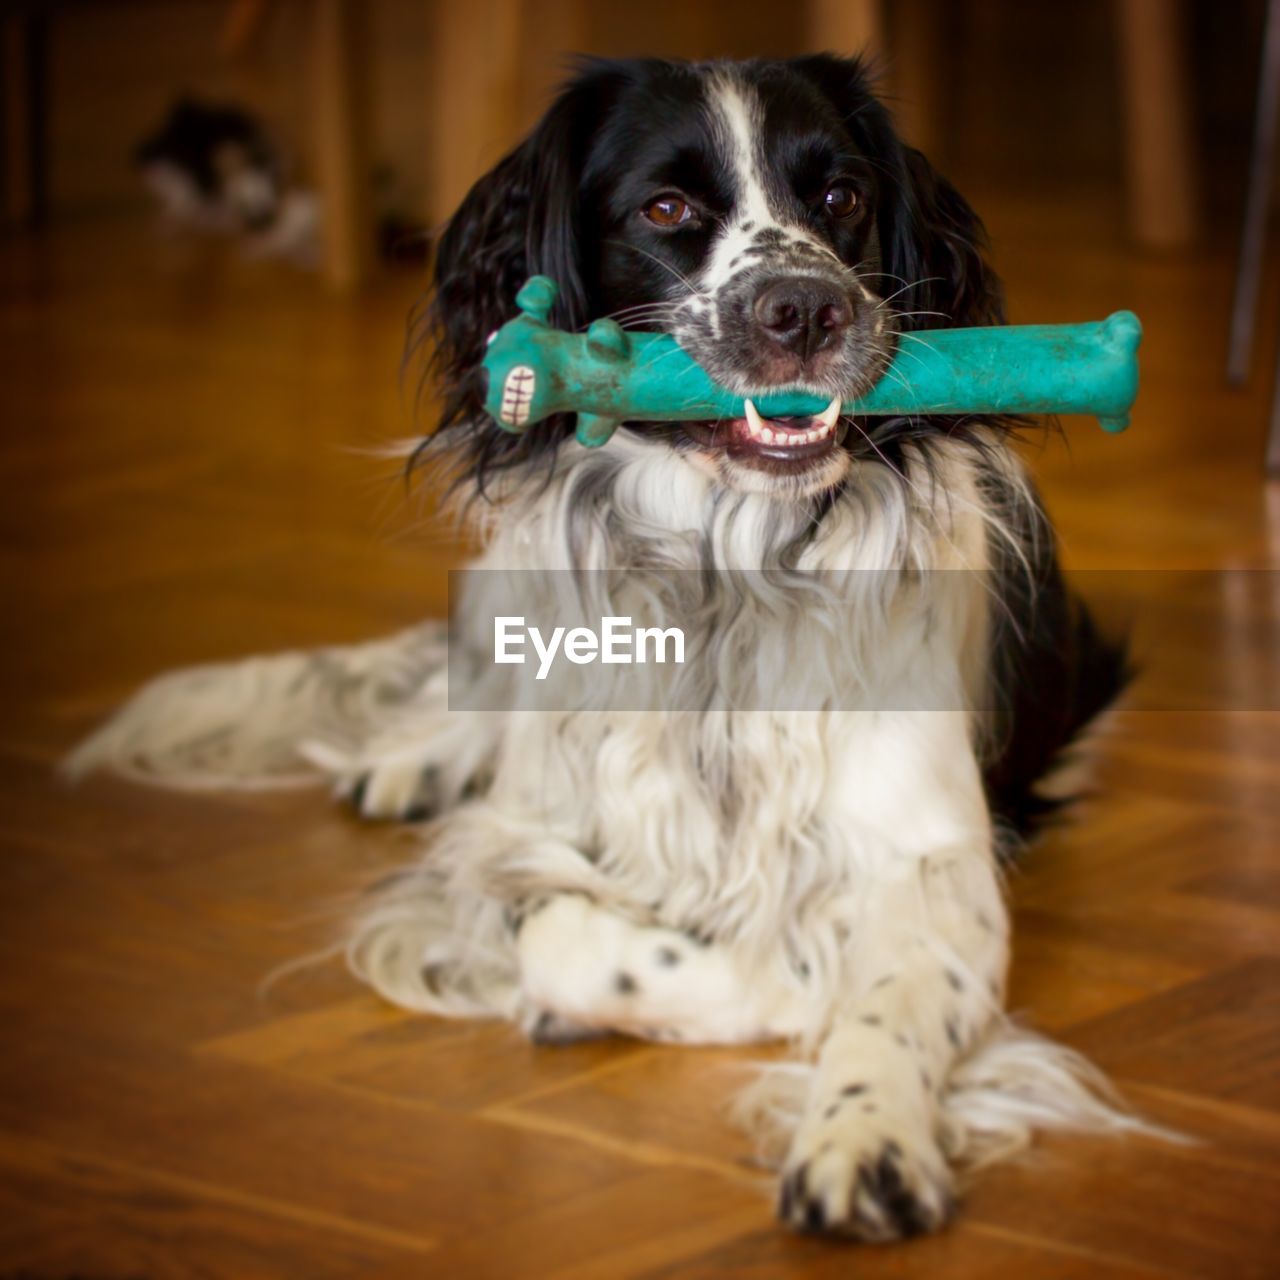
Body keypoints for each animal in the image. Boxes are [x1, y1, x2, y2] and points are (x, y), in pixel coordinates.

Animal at [72, 57, 1152, 1239]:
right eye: (665, 210)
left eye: (842, 197)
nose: (806, 307)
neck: (725, 573)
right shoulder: (529, 830)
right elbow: (568, 929)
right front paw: (779, 976)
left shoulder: (931, 861)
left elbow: (887, 999)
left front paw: (861, 1131)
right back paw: (407, 758)